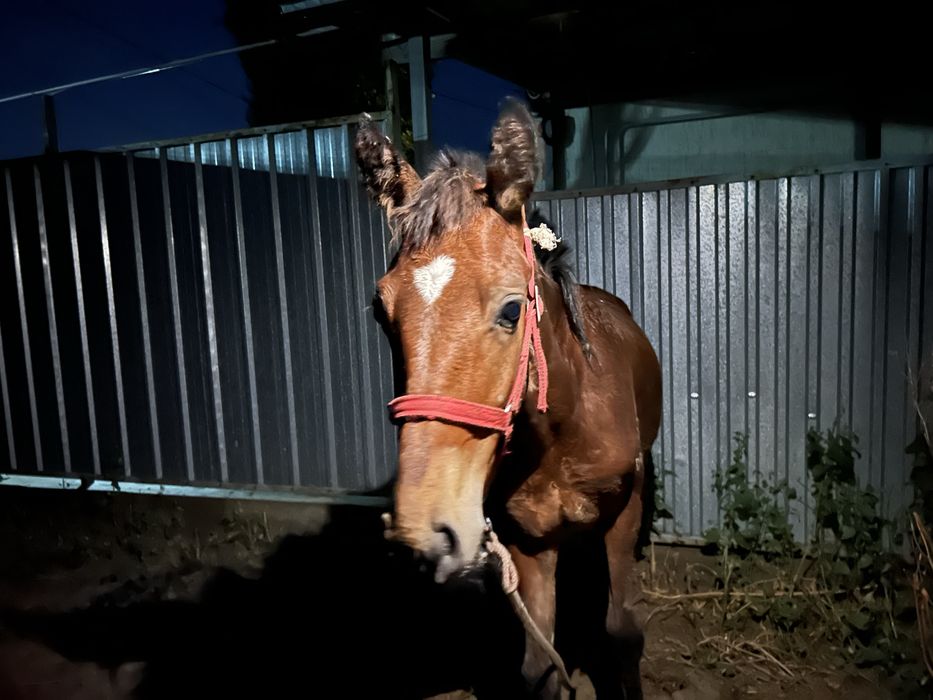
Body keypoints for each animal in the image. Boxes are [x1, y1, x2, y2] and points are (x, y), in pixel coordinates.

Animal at [354, 99, 662, 699]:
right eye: (381, 311)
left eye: (512, 309)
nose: (425, 534)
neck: (565, 429)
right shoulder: (528, 541)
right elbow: (539, 666)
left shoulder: (624, 510)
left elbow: (622, 634)